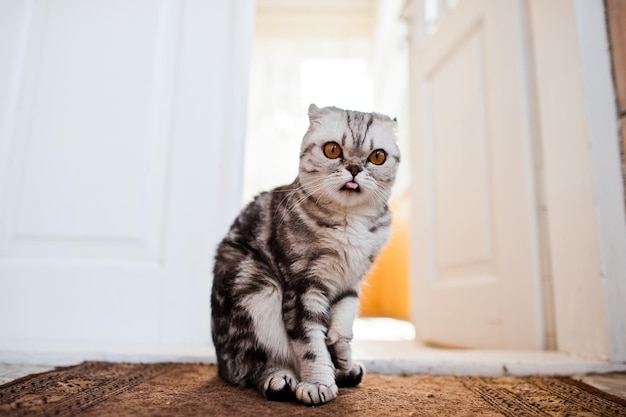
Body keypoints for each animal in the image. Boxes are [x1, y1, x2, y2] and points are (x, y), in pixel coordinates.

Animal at [211, 102, 400, 404]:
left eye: (378, 156)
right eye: (332, 150)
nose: (354, 168)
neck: (350, 222)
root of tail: (220, 364)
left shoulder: (350, 282)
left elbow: (343, 325)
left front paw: (341, 356)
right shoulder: (303, 286)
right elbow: (311, 343)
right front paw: (318, 383)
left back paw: (347, 371)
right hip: (255, 289)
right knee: (251, 368)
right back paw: (280, 380)